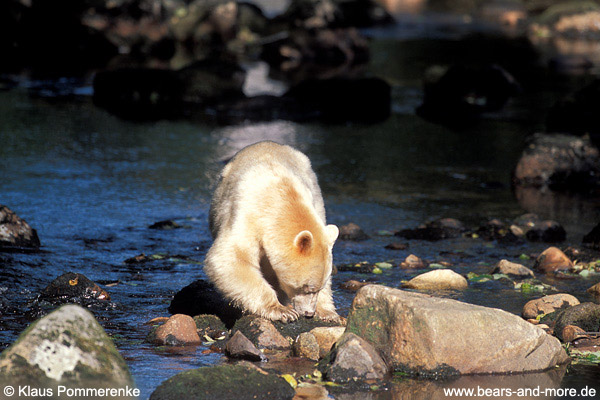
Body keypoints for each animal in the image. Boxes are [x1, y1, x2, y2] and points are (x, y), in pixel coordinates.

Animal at [205, 142, 342, 324]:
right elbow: (230, 259)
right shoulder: (246, 214)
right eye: (306, 287)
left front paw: (327, 313)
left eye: (317, 288)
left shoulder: (313, 200)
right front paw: (282, 310)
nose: (309, 313)